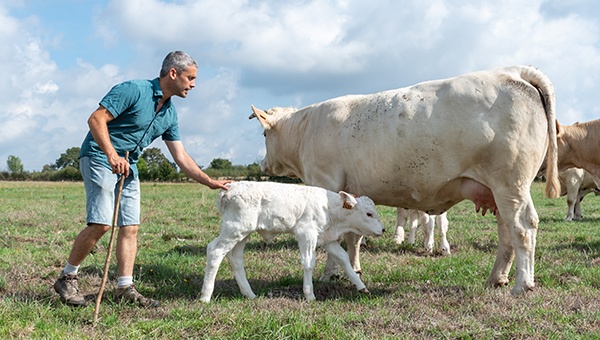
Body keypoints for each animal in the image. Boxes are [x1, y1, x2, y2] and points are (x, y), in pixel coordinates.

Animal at [199, 182, 386, 302]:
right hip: (234, 229)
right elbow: (308, 263)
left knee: (235, 257)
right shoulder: (306, 234)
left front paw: (361, 286)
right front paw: (309, 294)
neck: (329, 208)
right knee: (214, 251)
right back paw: (205, 296)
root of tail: (229, 188)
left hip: (242, 233)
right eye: (369, 214)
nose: (383, 229)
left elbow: (344, 259)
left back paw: (249, 294)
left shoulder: (327, 239)